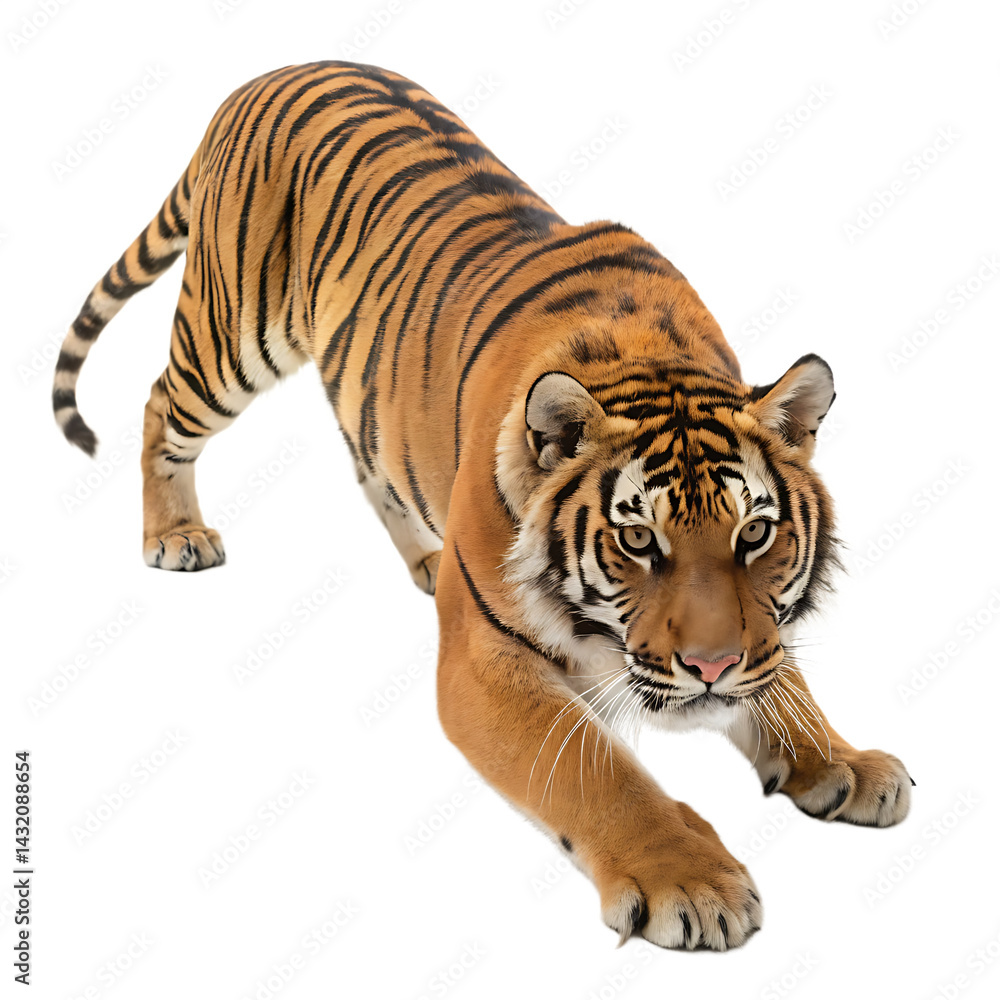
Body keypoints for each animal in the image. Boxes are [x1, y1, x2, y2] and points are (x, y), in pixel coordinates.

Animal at [53, 60, 913, 951]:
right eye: (639, 540)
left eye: (756, 534)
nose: (711, 668)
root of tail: (268, 74)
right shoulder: (483, 663)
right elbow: (601, 775)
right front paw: (692, 881)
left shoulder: (756, 636)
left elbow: (787, 681)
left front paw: (845, 763)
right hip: (230, 335)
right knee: (160, 404)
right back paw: (175, 534)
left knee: (367, 461)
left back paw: (426, 561)